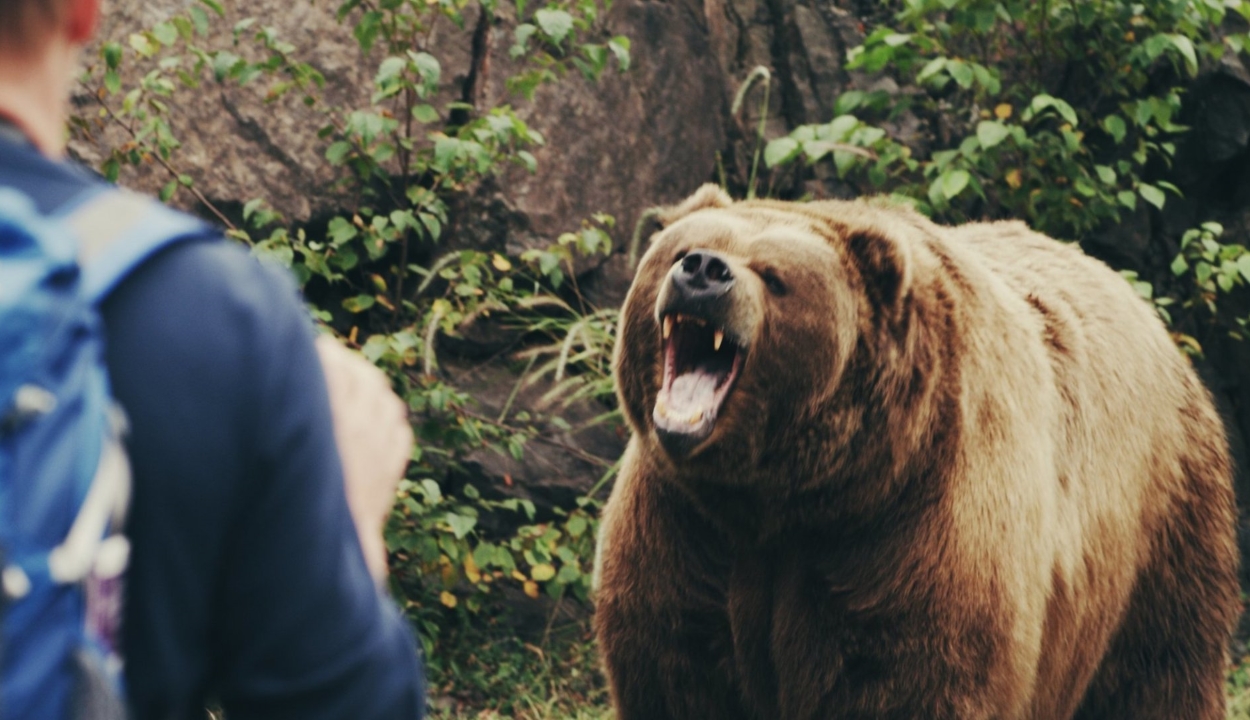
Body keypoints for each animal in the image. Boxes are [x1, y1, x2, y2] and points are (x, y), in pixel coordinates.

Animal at [592, 187, 1240, 720]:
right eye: (683, 249)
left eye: (774, 276)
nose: (704, 271)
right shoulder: (685, 527)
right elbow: (676, 667)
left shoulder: (916, 526)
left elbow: (910, 678)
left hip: (1161, 525)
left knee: (1161, 670)